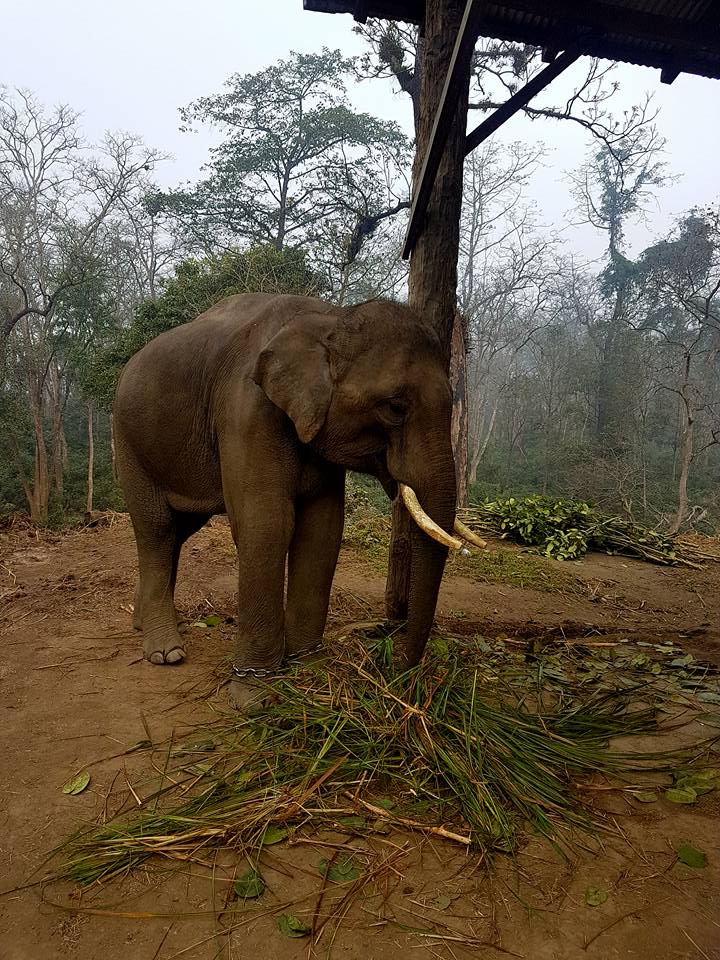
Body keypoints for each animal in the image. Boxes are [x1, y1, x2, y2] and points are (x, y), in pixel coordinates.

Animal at [114, 292, 474, 708]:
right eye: (395, 407)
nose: (397, 668)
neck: (331, 317)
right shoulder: (247, 411)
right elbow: (267, 525)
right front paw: (254, 696)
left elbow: (322, 530)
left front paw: (309, 670)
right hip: (129, 444)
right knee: (156, 528)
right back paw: (165, 652)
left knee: (179, 530)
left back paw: (141, 622)